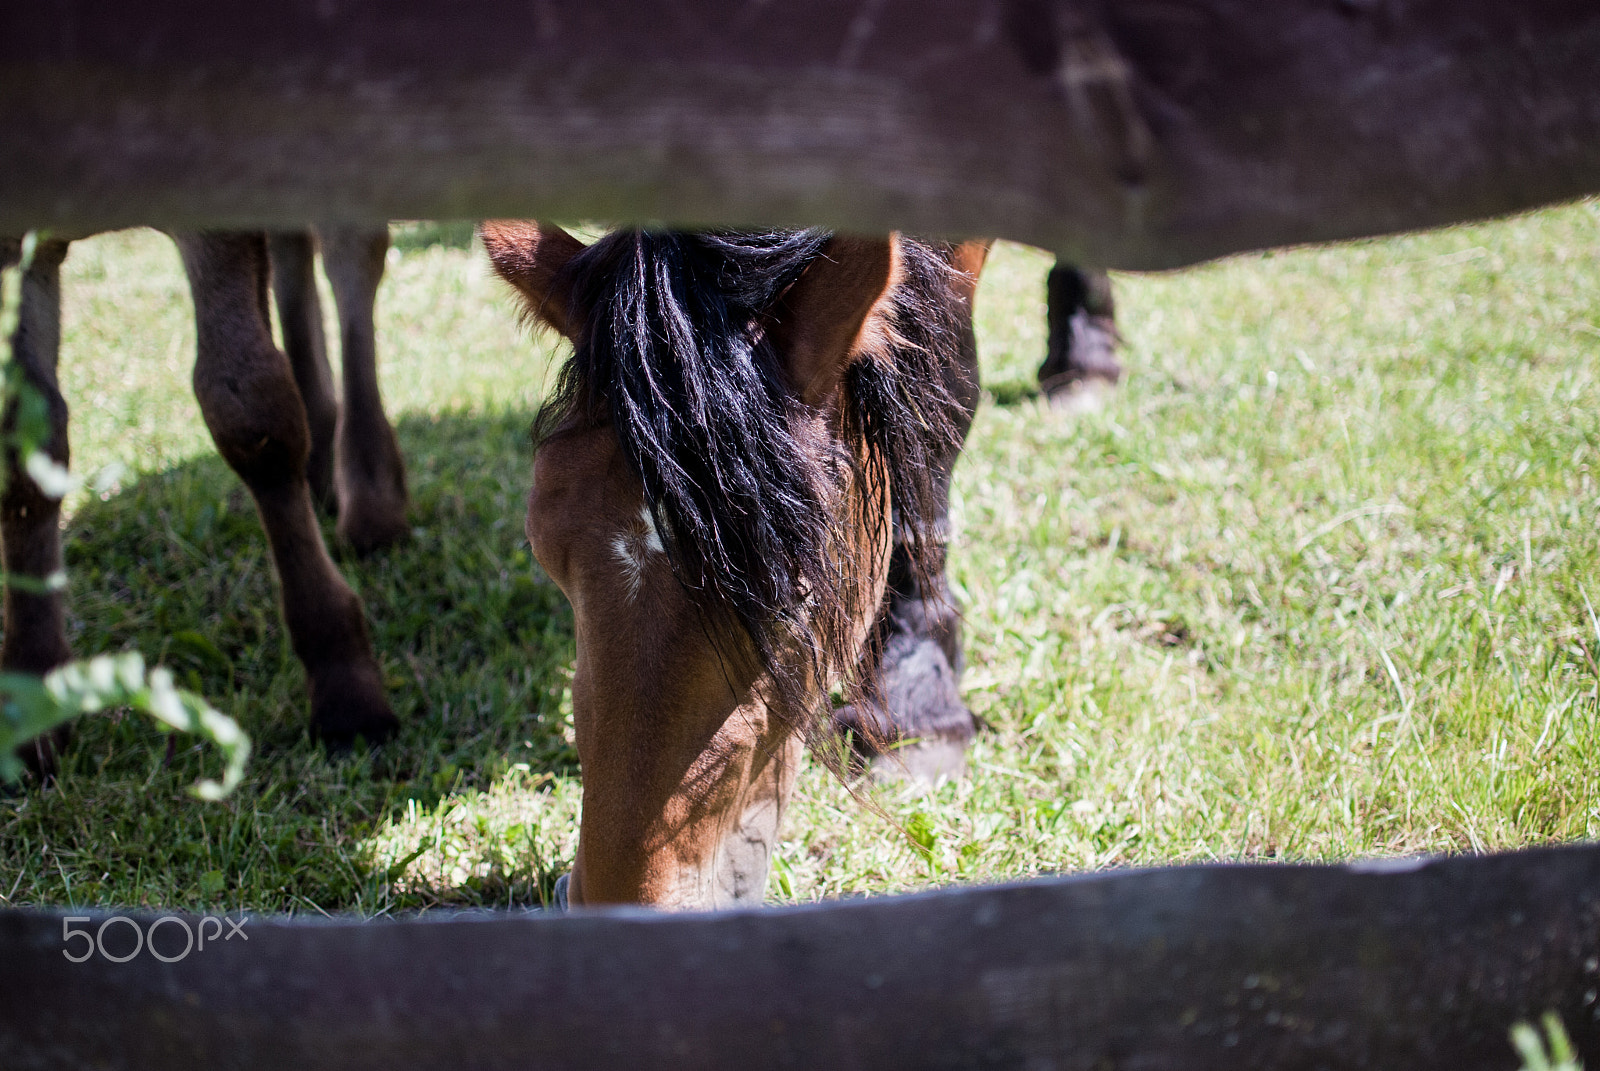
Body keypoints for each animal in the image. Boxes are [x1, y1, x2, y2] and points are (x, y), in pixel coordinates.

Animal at [2, 228, 407, 772]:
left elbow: (251, 413)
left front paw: (346, 691)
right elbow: (23, 447)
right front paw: (31, 705)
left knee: (353, 256)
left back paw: (372, 500)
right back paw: (321, 463)